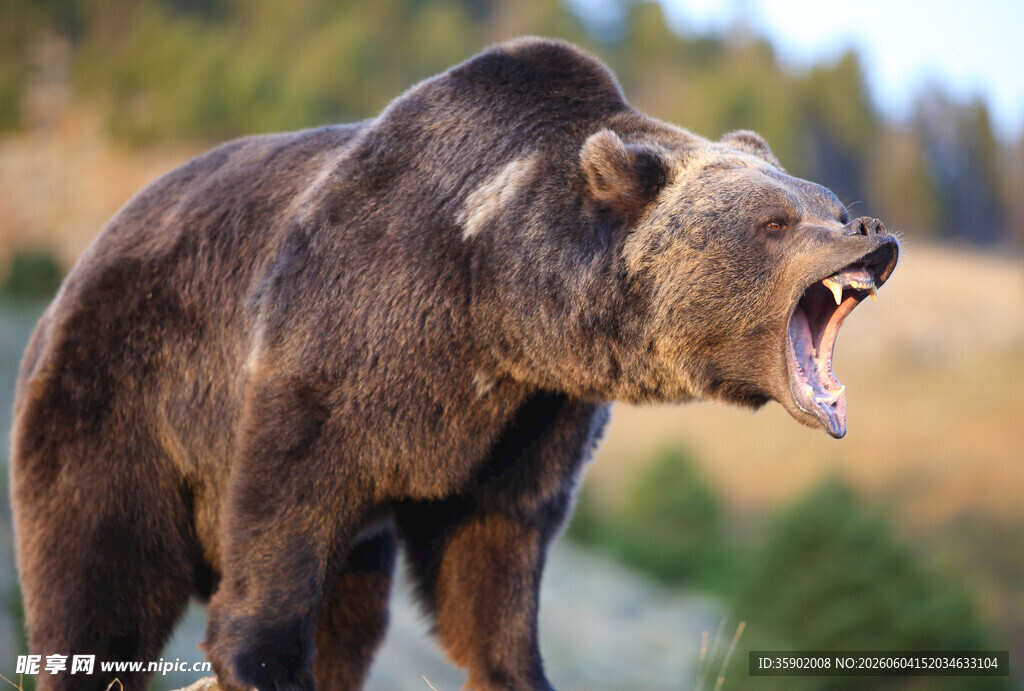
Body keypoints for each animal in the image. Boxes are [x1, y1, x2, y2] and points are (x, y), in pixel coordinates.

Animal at [10, 37, 898, 691]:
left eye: (831, 206)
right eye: (776, 221)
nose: (872, 232)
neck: (495, 298)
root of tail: (75, 271)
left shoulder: (529, 415)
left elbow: (496, 552)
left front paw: (516, 668)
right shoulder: (344, 334)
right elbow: (285, 497)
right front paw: (259, 659)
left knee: (353, 610)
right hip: (118, 394)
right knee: (100, 573)